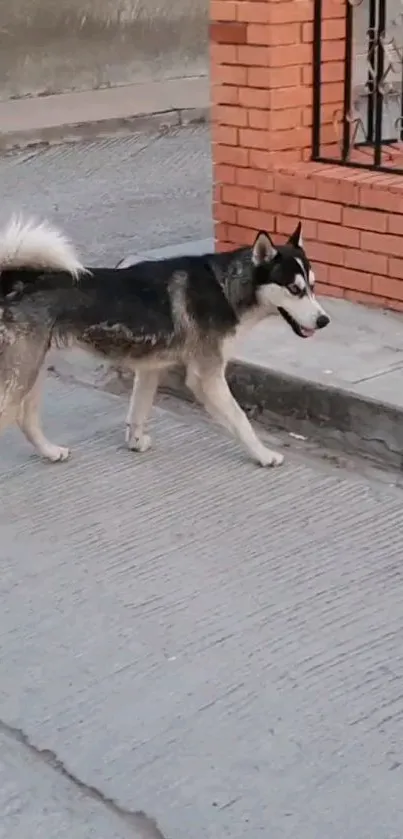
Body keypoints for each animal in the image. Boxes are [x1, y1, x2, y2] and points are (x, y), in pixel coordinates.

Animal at [0, 217, 328, 466]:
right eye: (294, 289)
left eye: (313, 286)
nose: (324, 320)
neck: (227, 286)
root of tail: (12, 282)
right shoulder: (207, 377)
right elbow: (241, 421)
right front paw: (263, 455)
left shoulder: (149, 369)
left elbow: (139, 410)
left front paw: (134, 441)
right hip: (21, 374)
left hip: (33, 370)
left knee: (26, 420)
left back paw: (50, 452)